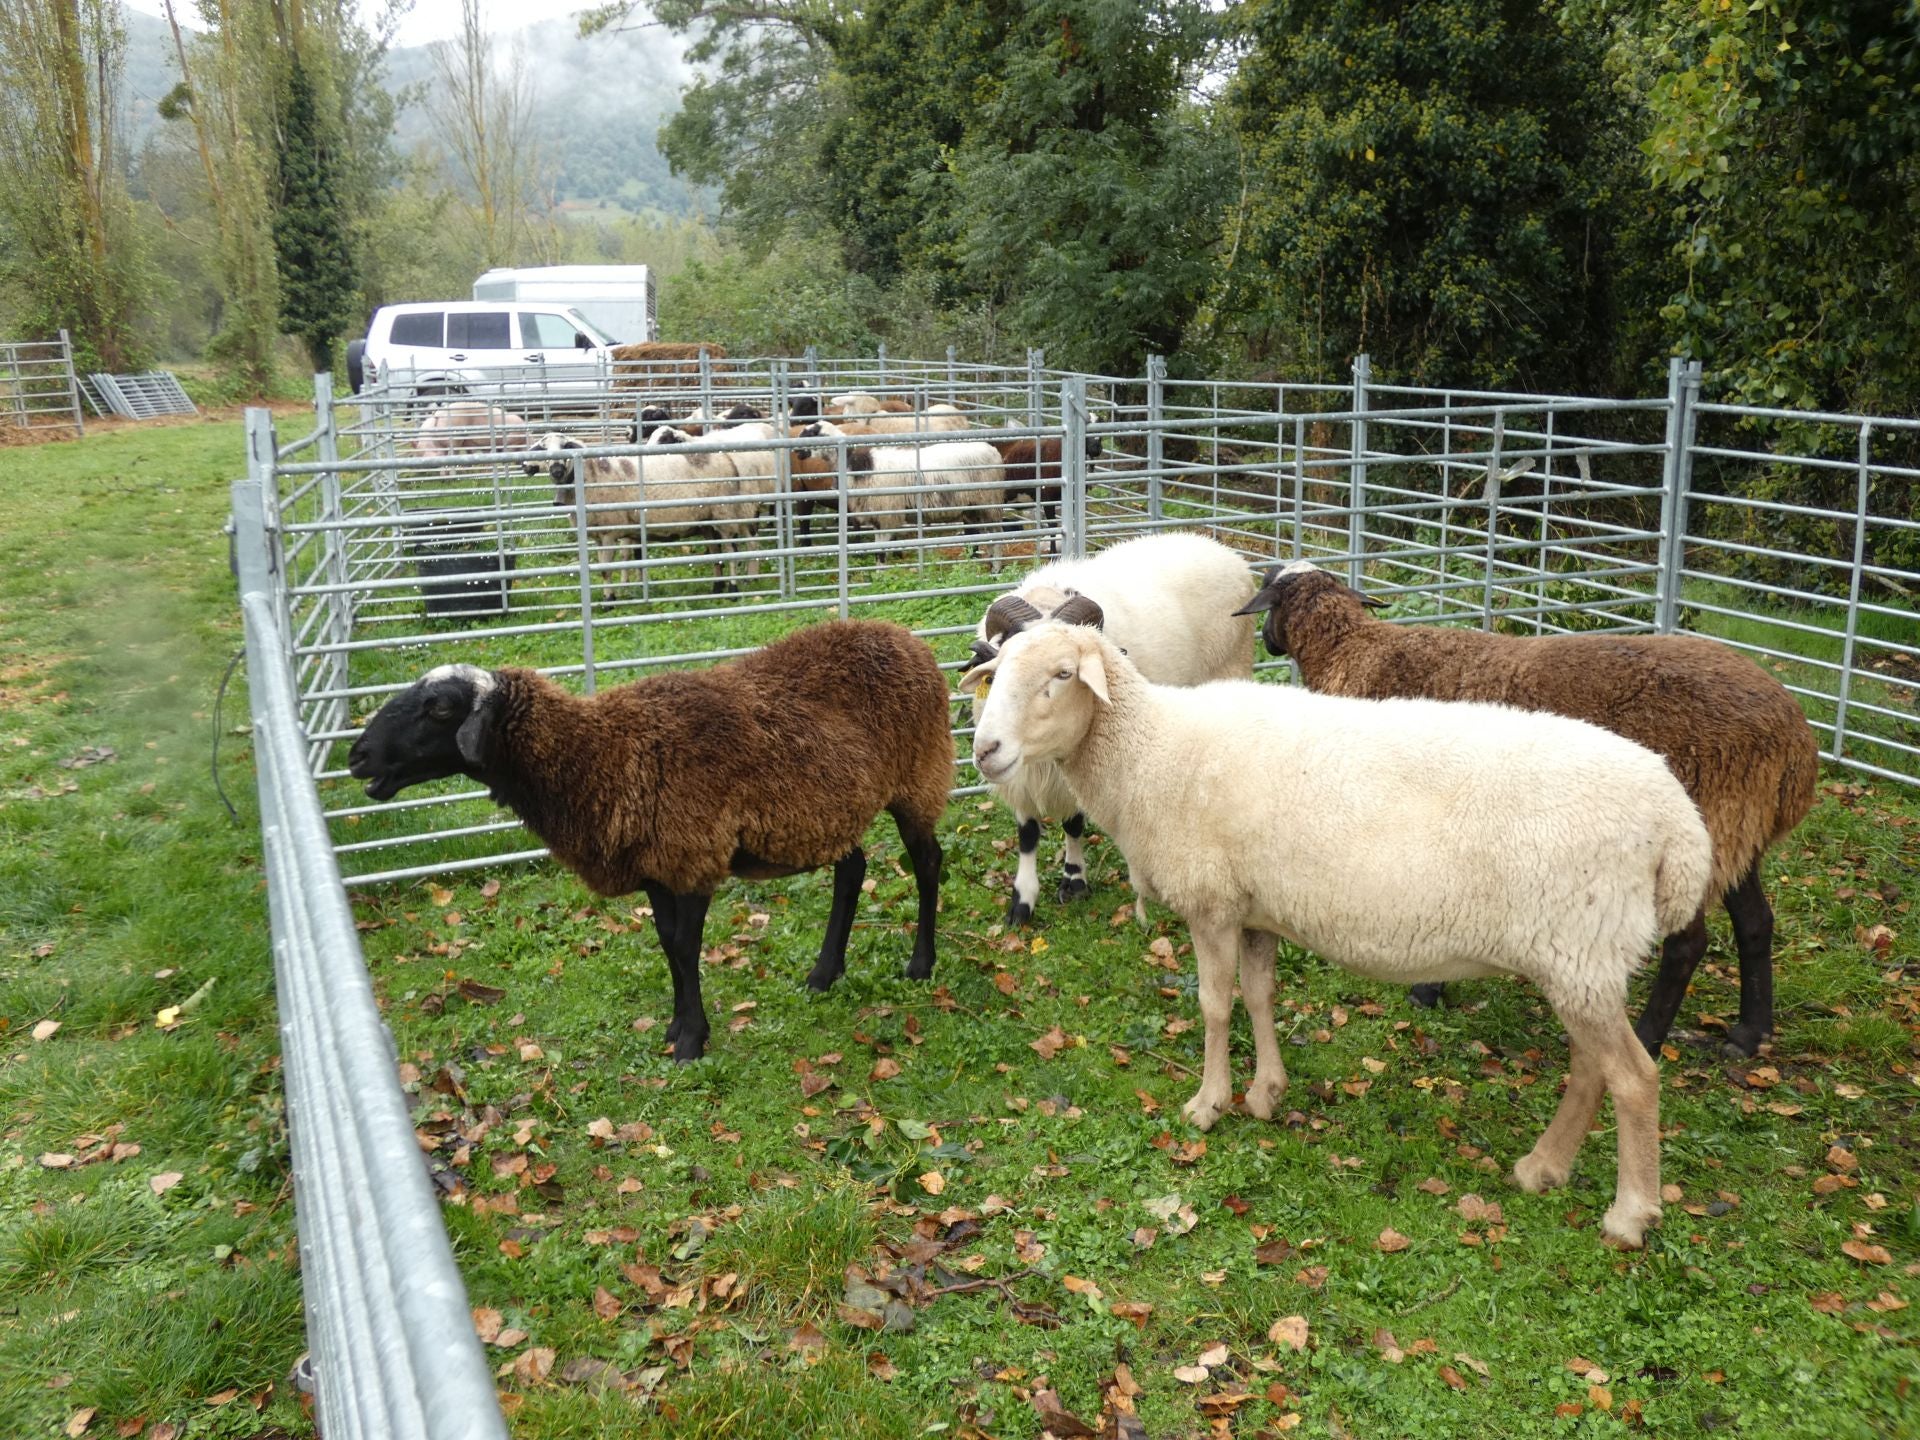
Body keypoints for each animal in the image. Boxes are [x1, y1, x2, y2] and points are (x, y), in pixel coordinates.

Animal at [347, 622, 960, 1059]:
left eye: (439, 707)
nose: (357, 757)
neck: (601, 754)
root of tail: (906, 639)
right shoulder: (656, 866)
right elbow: (667, 944)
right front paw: (675, 1026)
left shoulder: (692, 854)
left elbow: (685, 947)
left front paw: (691, 1042)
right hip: (827, 812)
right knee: (852, 870)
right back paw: (823, 974)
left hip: (918, 778)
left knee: (928, 862)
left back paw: (920, 964)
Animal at [529, 428, 760, 591]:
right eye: (543, 450)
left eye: (566, 445)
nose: (557, 470)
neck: (590, 474)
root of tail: (728, 458)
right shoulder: (600, 534)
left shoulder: (610, 530)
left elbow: (606, 570)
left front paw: (609, 600)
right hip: (707, 521)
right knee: (715, 553)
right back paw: (717, 587)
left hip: (724, 515)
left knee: (731, 551)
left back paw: (733, 589)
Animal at [960, 537, 1259, 929]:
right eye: (998, 666)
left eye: (1066, 672)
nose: (986, 750)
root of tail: (1220, 548)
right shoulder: (1018, 774)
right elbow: (1027, 834)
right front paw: (1021, 901)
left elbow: (1073, 823)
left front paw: (1074, 881)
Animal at [967, 629, 1720, 1251]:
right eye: (997, 673)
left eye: (1062, 674)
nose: (984, 749)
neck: (1149, 751)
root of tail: (1678, 823)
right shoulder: (1255, 908)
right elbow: (1259, 994)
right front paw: (1267, 1094)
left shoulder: (1212, 903)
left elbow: (1215, 1005)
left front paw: (1209, 1105)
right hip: (1582, 957)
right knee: (1593, 1070)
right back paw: (1543, 1167)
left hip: (1581, 949)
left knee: (1634, 1077)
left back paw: (1629, 1214)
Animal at [1236, 564, 1820, 1059]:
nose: (1265, 639)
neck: (1357, 654)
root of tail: (1796, 741)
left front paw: (1424, 986)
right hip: (1737, 826)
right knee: (1755, 923)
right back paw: (1748, 1036)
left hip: (1703, 818)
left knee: (1687, 944)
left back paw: (1651, 1039)